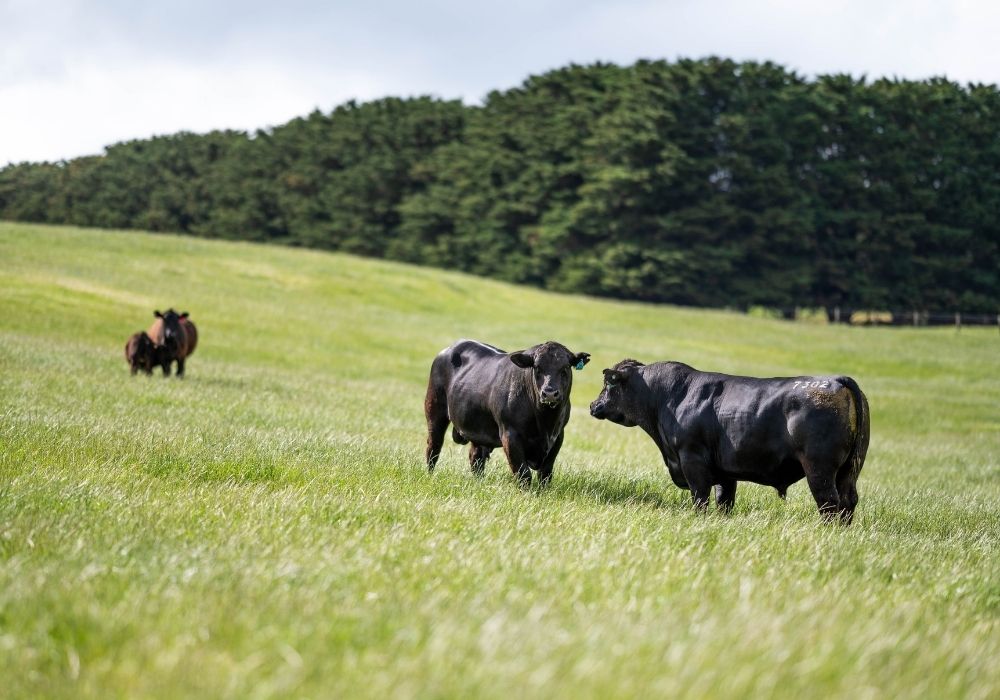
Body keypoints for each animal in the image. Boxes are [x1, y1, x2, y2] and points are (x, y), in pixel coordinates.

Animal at [425, 339, 591, 486]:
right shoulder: (510, 434)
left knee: (475, 457)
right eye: (537, 368)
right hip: (434, 410)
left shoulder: (558, 436)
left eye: (565, 368)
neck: (545, 423)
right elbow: (523, 473)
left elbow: (545, 474)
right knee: (434, 447)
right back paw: (429, 475)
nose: (549, 393)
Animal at [589, 359, 870, 523]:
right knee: (848, 502)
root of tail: (835, 380)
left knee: (830, 504)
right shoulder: (725, 472)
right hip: (849, 470)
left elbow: (700, 498)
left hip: (819, 468)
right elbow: (724, 501)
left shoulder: (692, 460)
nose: (593, 405)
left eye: (608, 384)